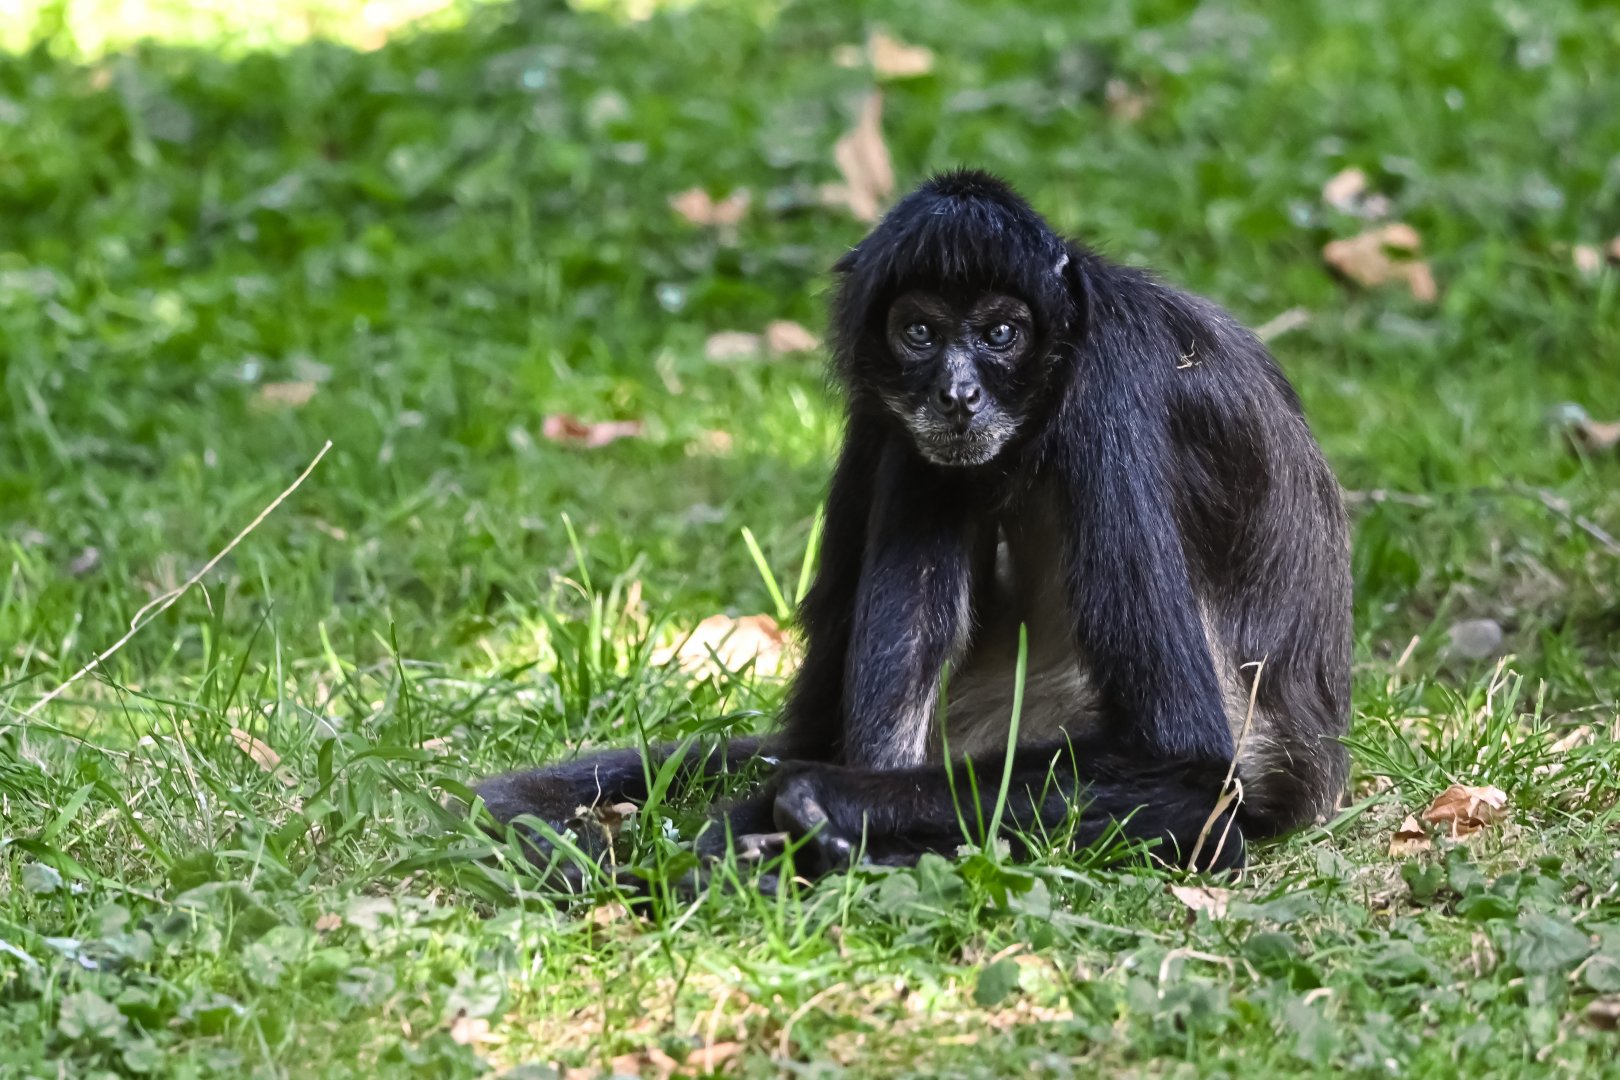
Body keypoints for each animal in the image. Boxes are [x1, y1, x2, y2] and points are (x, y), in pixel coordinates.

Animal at [474, 169, 1351, 881]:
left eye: (1001, 334)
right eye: (920, 332)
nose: (957, 395)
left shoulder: (1112, 377)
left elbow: (1190, 770)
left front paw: (808, 803)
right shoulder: (881, 402)